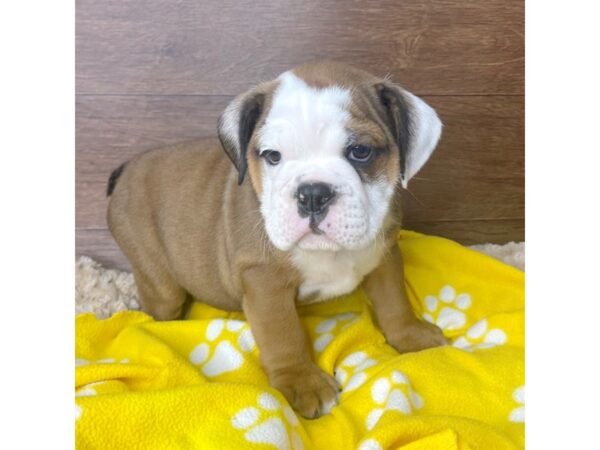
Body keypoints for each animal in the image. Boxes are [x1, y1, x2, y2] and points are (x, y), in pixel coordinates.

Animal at [108, 59, 448, 418]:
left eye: (360, 151)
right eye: (273, 156)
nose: (312, 194)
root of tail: (126, 168)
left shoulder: (384, 254)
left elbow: (395, 299)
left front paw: (411, 335)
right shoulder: (265, 282)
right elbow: (283, 333)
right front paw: (303, 381)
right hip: (160, 284)